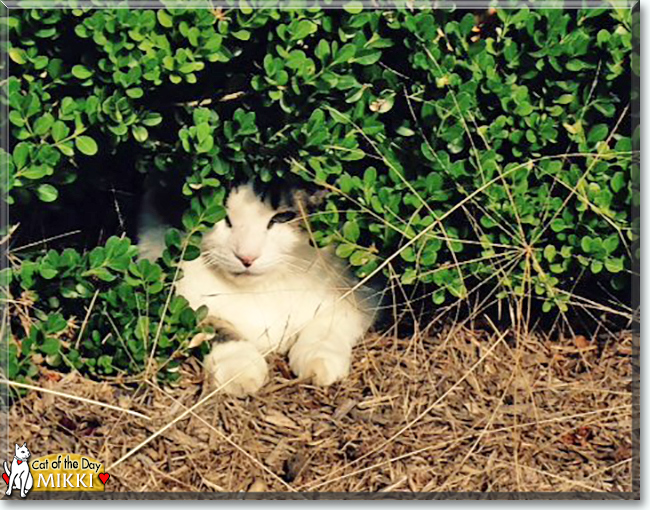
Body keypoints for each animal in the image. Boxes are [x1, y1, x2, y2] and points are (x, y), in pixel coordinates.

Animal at [139, 177, 378, 396]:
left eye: (282, 217)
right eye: (220, 216)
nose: (247, 257)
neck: (260, 289)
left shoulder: (357, 294)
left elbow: (328, 326)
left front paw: (319, 359)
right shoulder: (180, 304)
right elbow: (214, 328)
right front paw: (239, 366)